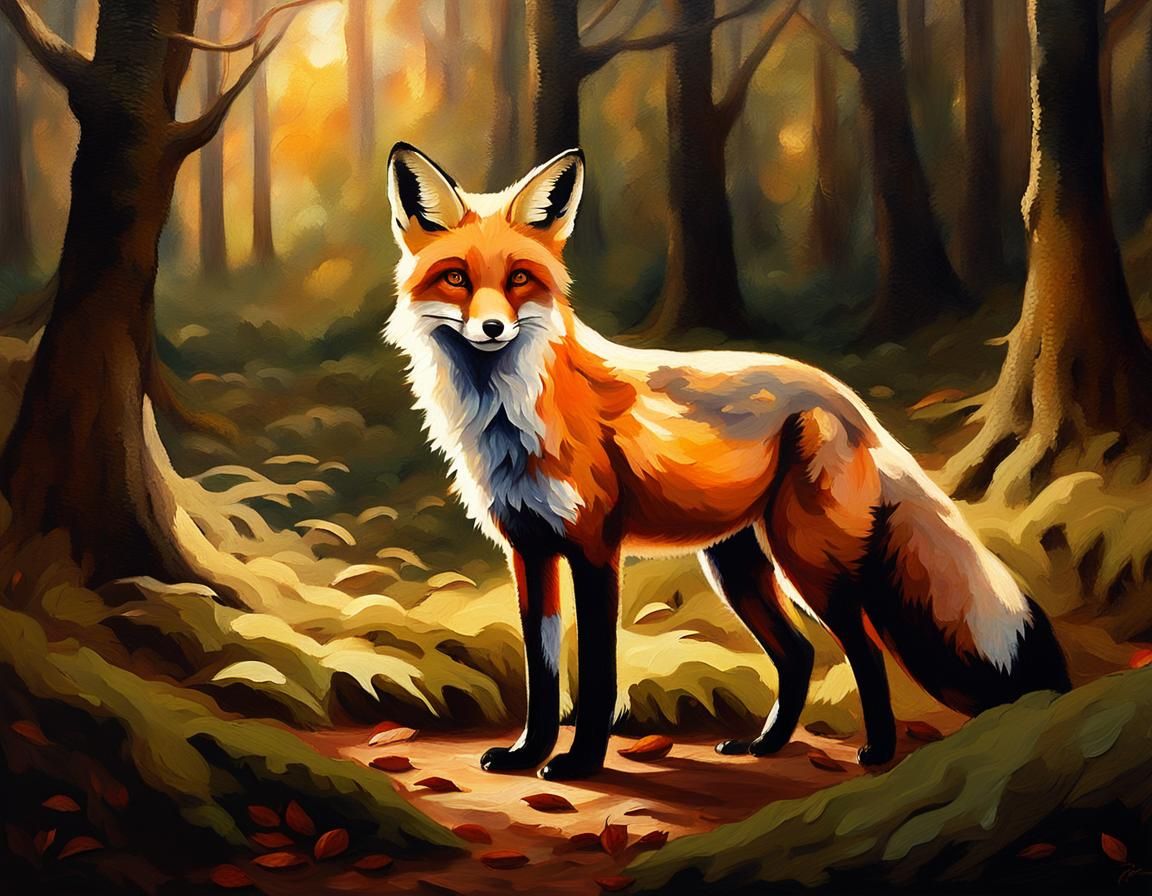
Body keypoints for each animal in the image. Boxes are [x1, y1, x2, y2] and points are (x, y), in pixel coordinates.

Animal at [382, 142, 1071, 781]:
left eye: (520, 278)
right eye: (456, 278)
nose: (493, 329)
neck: (509, 418)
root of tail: (844, 396)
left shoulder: (595, 549)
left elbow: (599, 673)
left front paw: (579, 762)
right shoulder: (529, 550)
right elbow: (542, 671)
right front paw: (528, 753)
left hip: (807, 561)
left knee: (864, 650)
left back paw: (876, 752)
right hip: (737, 566)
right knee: (797, 654)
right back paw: (764, 744)